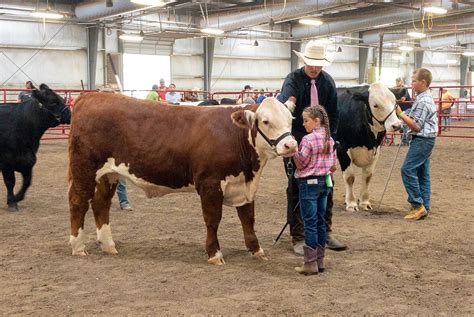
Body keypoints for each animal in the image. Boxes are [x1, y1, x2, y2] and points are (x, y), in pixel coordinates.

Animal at [68, 92, 296, 262]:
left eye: (290, 120)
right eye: (265, 121)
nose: (291, 145)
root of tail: (90, 96)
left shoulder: (244, 183)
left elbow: (248, 218)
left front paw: (256, 250)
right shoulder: (209, 183)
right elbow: (213, 219)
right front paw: (214, 253)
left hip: (109, 174)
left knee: (101, 203)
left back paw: (108, 246)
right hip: (84, 169)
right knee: (78, 201)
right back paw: (78, 247)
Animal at [336, 82, 402, 210]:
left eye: (395, 102)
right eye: (375, 105)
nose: (396, 125)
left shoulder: (376, 150)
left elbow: (367, 176)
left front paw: (364, 202)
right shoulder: (342, 148)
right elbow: (349, 177)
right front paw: (351, 203)